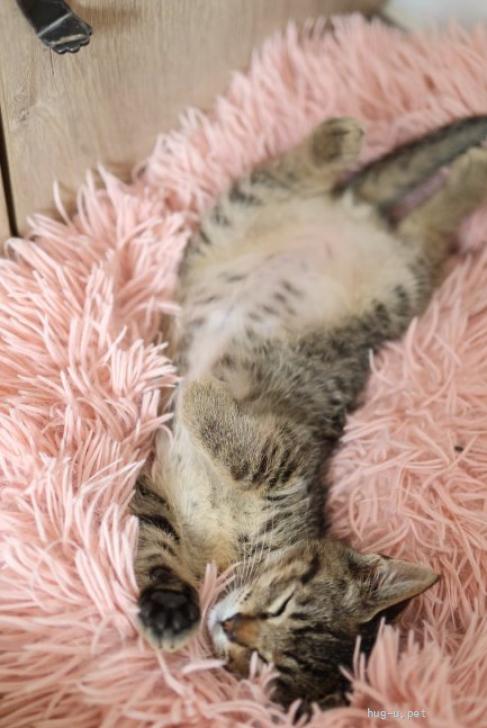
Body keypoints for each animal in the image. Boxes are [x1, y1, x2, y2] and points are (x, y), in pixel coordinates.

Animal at [131, 115, 487, 710]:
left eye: (264, 668)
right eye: (281, 605)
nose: (231, 627)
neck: (233, 543)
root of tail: (357, 220)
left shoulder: (283, 462)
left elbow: (244, 458)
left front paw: (200, 395)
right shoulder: (166, 489)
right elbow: (157, 547)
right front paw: (165, 606)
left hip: (405, 288)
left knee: (429, 231)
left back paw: (462, 178)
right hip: (238, 215)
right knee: (297, 175)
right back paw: (345, 143)